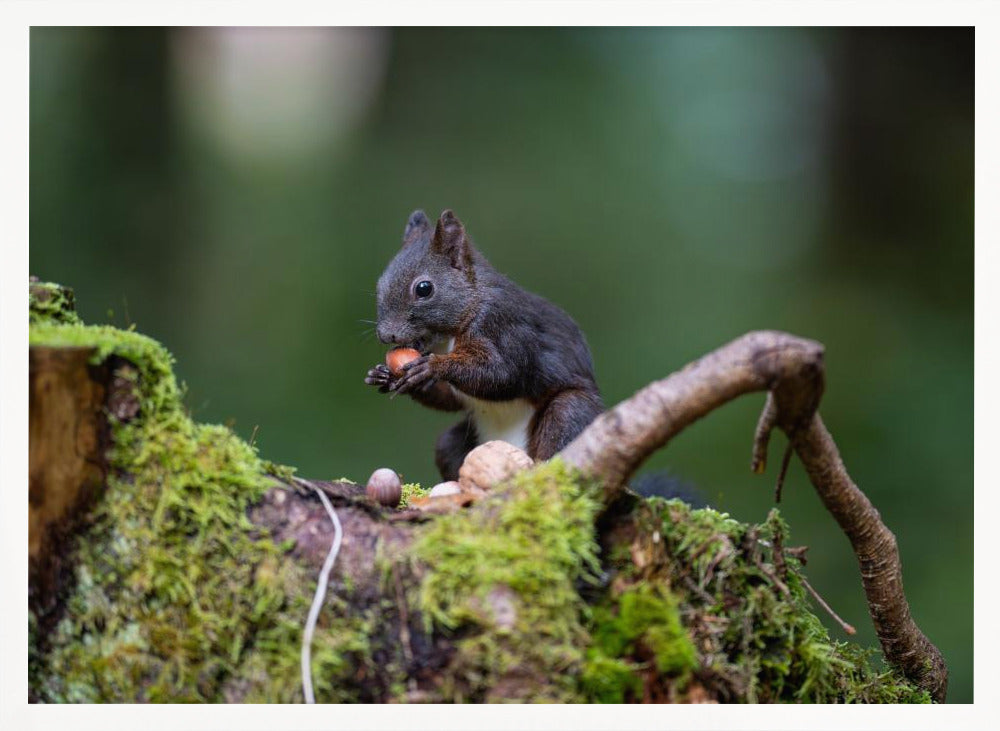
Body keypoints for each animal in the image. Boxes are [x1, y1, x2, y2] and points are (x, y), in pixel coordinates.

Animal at [366, 207, 604, 480]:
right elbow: (450, 398)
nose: (386, 335)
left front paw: (433, 367)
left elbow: (504, 374)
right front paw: (384, 375)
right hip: (456, 443)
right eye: (379, 285)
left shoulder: (502, 323)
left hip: (570, 414)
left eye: (424, 288)